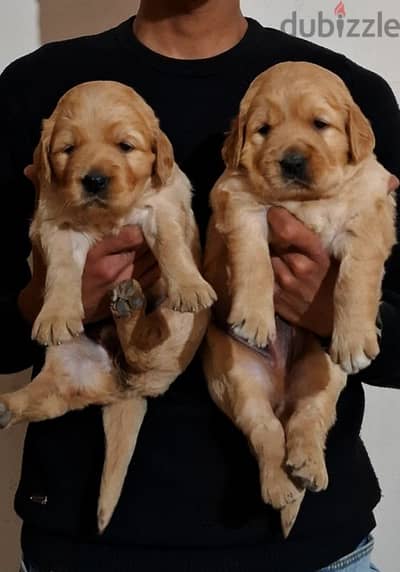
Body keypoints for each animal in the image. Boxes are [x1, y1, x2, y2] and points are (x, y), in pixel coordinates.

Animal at [0, 80, 216, 532]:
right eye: (67, 149)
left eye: (125, 146)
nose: (94, 180)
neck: (107, 220)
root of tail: (122, 388)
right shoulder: (55, 224)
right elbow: (62, 271)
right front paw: (56, 314)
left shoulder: (164, 206)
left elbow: (172, 244)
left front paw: (189, 285)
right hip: (67, 371)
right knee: (47, 398)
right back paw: (4, 406)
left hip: (175, 338)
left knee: (144, 345)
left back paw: (131, 308)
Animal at [203, 62, 396, 536]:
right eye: (263, 130)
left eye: (320, 124)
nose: (290, 161)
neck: (306, 201)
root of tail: (281, 390)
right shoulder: (236, 198)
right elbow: (253, 258)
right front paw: (253, 318)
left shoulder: (371, 210)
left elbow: (357, 277)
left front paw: (355, 336)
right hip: (234, 378)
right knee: (266, 431)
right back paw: (280, 487)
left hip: (323, 373)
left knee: (308, 419)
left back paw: (308, 466)